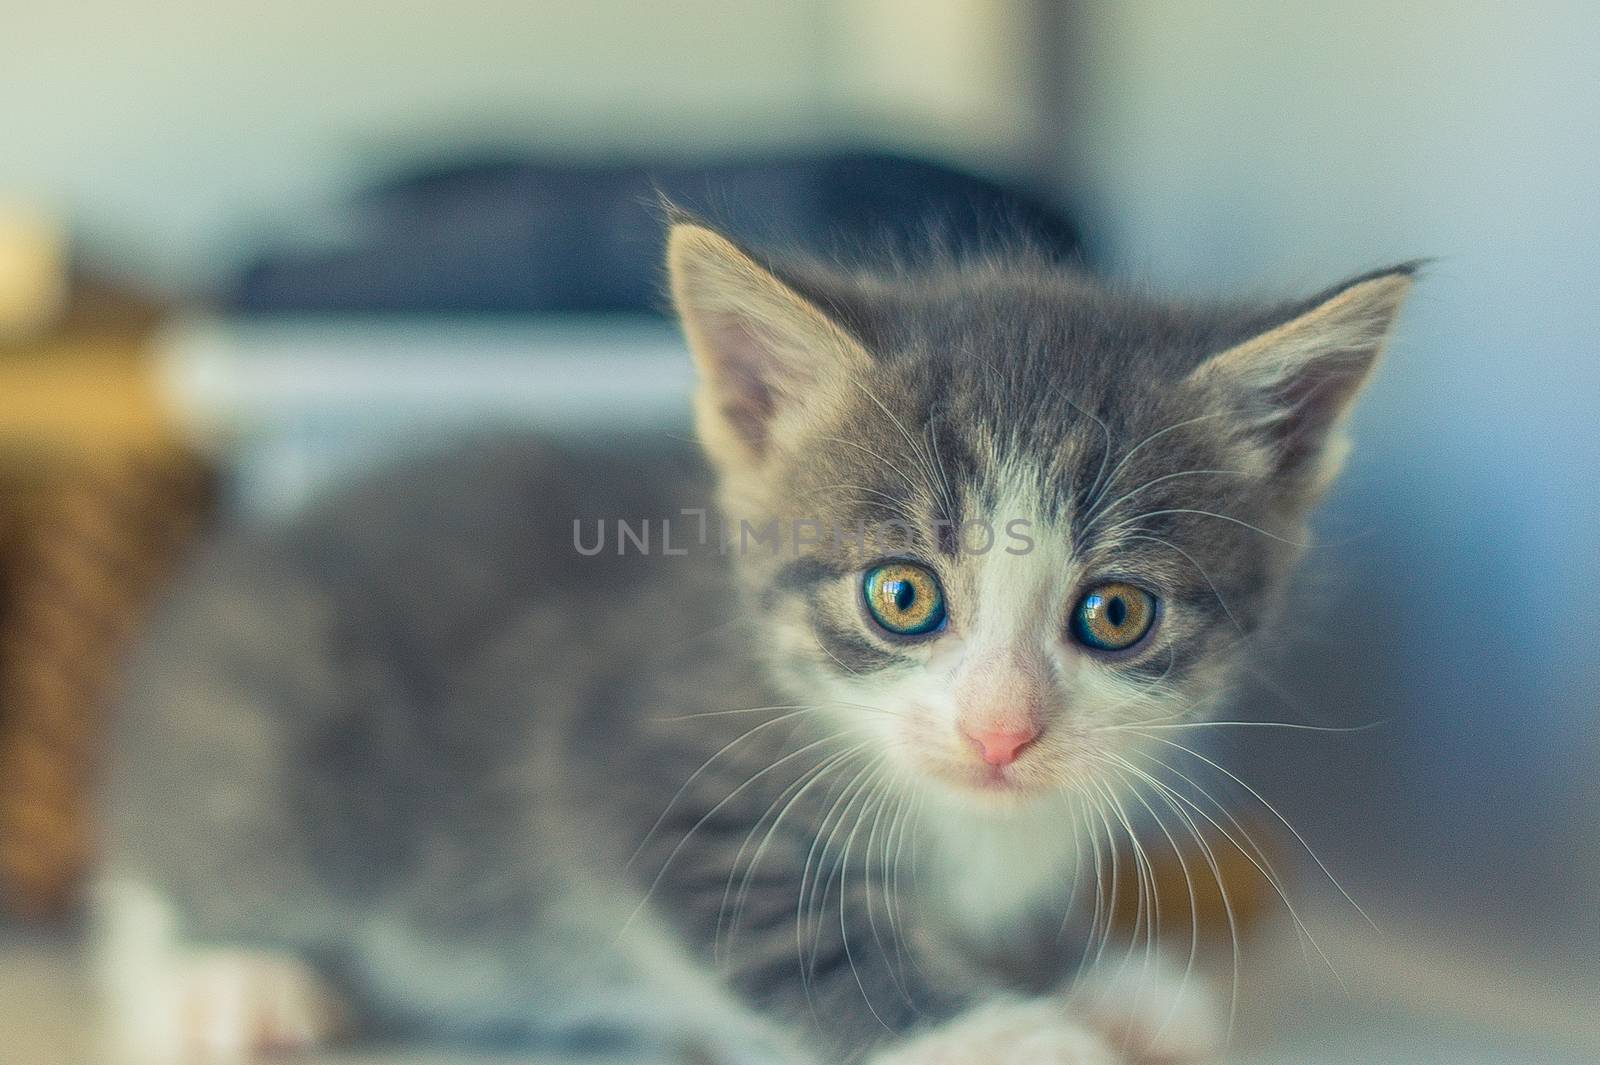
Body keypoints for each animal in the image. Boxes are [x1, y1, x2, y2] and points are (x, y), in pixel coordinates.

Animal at [93, 219, 1414, 1055]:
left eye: (1117, 612)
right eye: (901, 597)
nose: (1000, 732)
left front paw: (1098, 980)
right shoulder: (637, 767)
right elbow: (798, 940)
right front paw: (1010, 1035)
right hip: (272, 735)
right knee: (157, 876)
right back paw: (232, 980)